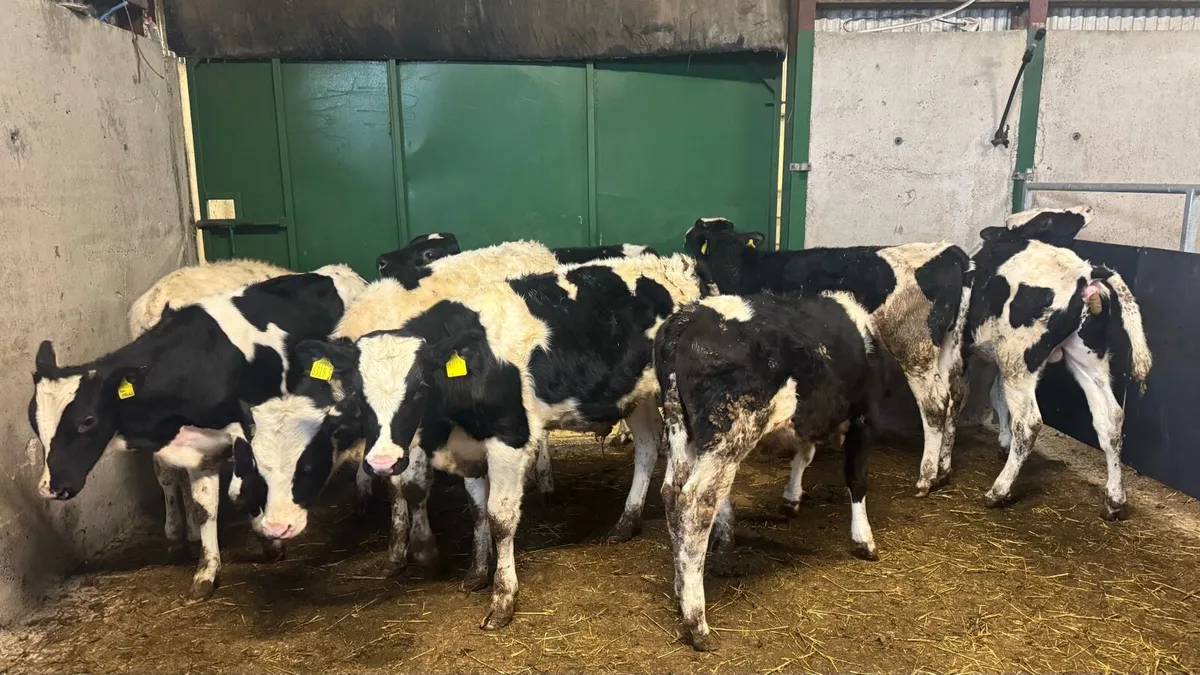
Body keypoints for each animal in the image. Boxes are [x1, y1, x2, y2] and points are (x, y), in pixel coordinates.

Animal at [31, 264, 366, 599]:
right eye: (33, 422)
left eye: (87, 420)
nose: (48, 487)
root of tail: (338, 270)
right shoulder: (198, 446)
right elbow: (205, 507)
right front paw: (206, 570)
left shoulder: (247, 431)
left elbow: (244, 488)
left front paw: (268, 540)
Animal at [295, 253, 703, 630]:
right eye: (358, 395)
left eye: (420, 388)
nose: (381, 462)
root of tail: (673, 266)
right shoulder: (470, 447)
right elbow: (477, 509)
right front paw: (477, 571)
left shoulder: (509, 439)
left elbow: (500, 517)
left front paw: (503, 598)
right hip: (636, 396)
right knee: (647, 445)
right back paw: (626, 522)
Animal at [655, 292, 884, 651]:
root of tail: (690, 315)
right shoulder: (866, 415)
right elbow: (856, 477)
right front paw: (864, 540)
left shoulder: (811, 417)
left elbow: (805, 453)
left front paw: (791, 498)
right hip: (732, 429)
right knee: (696, 503)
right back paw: (697, 622)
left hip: (680, 427)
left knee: (672, 492)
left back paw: (681, 592)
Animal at [686, 219, 971, 501]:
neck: (742, 267)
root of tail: (949, 251)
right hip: (949, 345)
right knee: (955, 394)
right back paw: (943, 470)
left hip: (913, 346)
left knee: (935, 404)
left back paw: (925, 479)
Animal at [965, 206, 1151, 520]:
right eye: (1046, 220)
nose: (1086, 209)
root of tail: (1086, 272)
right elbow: (997, 395)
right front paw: (1003, 441)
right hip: (1087, 358)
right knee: (1112, 418)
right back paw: (1114, 500)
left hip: (1020, 358)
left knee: (1029, 422)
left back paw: (999, 491)